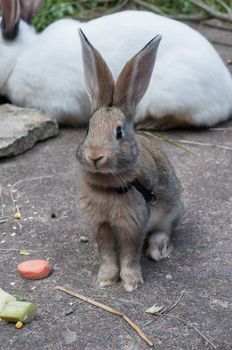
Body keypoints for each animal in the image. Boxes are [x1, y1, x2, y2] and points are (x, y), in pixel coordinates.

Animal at [76, 29, 183, 292]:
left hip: (172, 209)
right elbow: (107, 253)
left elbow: (129, 254)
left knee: (164, 231)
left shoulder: (133, 225)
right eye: (88, 130)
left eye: (119, 132)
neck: (107, 186)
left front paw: (131, 283)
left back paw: (157, 250)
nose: (95, 156)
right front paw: (105, 279)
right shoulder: (101, 225)